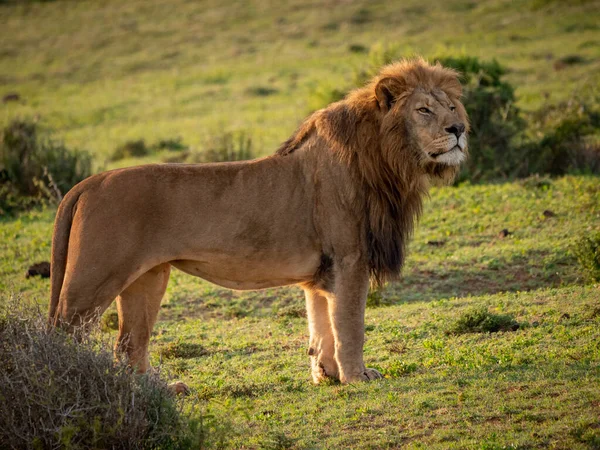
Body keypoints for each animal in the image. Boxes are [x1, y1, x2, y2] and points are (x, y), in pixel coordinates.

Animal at [48, 58, 468, 384]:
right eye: (424, 110)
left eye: (451, 107)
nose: (459, 130)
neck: (386, 158)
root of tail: (88, 182)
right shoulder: (350, 259)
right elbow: (350, 325)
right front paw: (357, 376)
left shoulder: (323, 272)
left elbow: (321, 326)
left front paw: (327, 376)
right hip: (94, 279)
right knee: (63, 333)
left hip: (147, 278)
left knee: (130, 343)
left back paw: (157, 393)